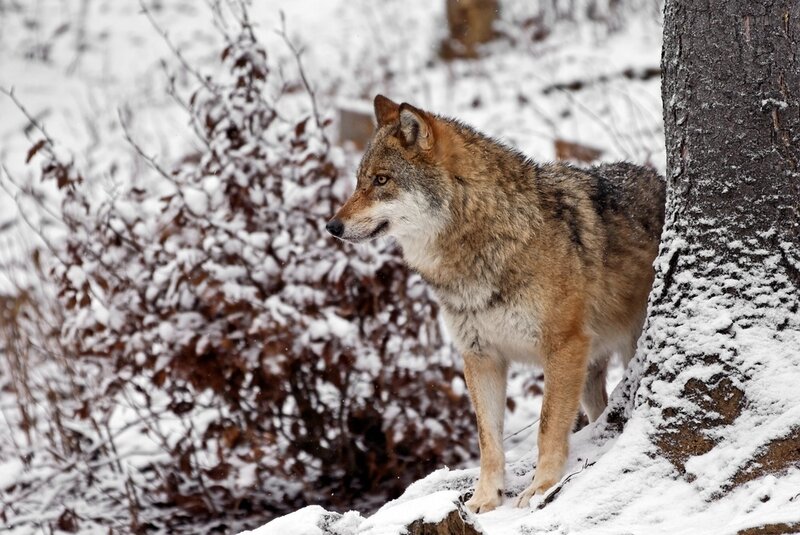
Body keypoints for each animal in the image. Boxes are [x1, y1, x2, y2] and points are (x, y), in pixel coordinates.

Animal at [326, 95, 666, 513]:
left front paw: (541, 488)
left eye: (382, 180)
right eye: (361, 180)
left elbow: (548, 427)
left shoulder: (563, 347)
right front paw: (485, 500)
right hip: (589, 371)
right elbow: (487, 440)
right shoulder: (481, 357)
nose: (332, 226)